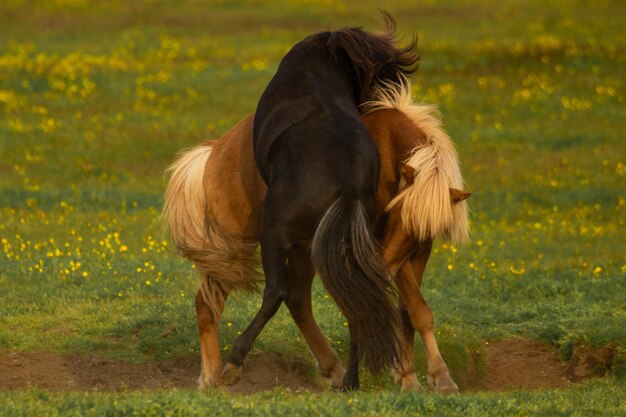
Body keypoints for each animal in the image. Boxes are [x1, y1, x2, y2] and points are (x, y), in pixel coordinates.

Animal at [162, 79, 468, 394]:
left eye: (424, 233)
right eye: (393, 214)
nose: (379, 270)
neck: (386, 146)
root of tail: (215, 153)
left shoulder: (416, 252)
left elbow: (411, 311)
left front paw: (412, 376)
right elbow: (413, 308)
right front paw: (435, 377)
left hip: (304, 249)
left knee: (297, 299)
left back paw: (333, 368)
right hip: (231, 253)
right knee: (207, 304)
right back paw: (212, 377)